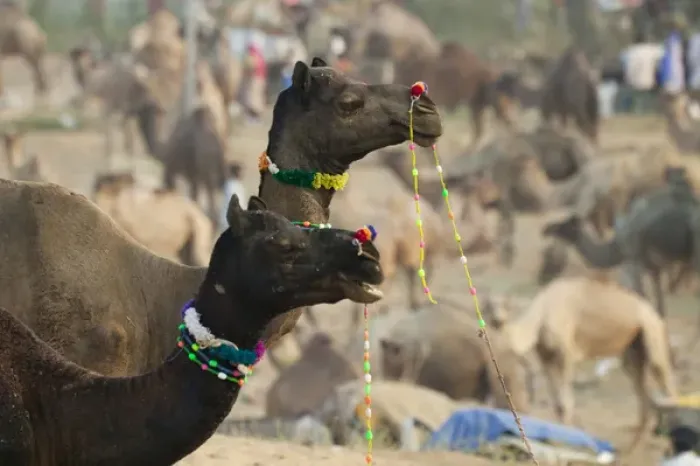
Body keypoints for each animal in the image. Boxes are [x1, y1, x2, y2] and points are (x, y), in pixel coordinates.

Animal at [483, 275, 677, 448]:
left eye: (506, 306)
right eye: (488, 306)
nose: (497, 319)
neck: (542, 314)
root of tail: (655, 314)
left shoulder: (566, 355)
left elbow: (565, 403)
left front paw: (565, 441)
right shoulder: (545, 358)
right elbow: (557, 404)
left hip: (653, 334)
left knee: (666, 383)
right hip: (633, 351)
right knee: (644, 396)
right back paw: (629, 452)